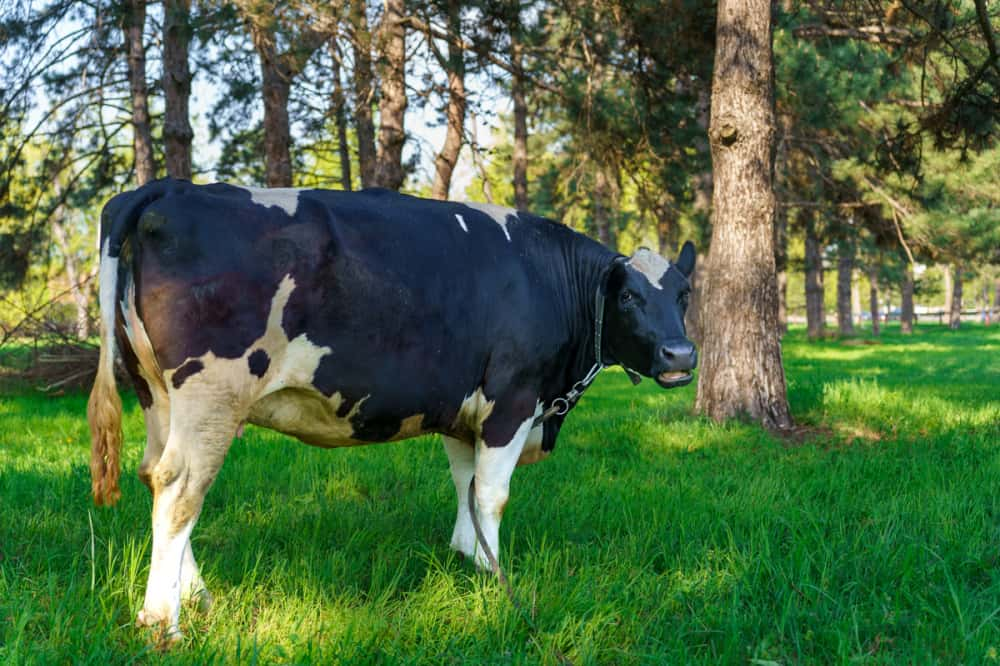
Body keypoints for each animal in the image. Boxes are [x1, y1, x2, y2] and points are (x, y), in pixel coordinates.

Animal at [88, 178, 696, 640]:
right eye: (628, 297)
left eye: (684, 295)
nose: (681, 354)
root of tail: (171, 187)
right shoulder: (512, 400)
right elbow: (491, 494)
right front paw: (496, 580)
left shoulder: (462, 408)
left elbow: (464, 483)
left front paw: (467, 560)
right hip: (211, 392)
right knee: (181, 486)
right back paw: (163, 621)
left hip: (156, 393)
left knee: (156, 475)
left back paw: (195, 595)